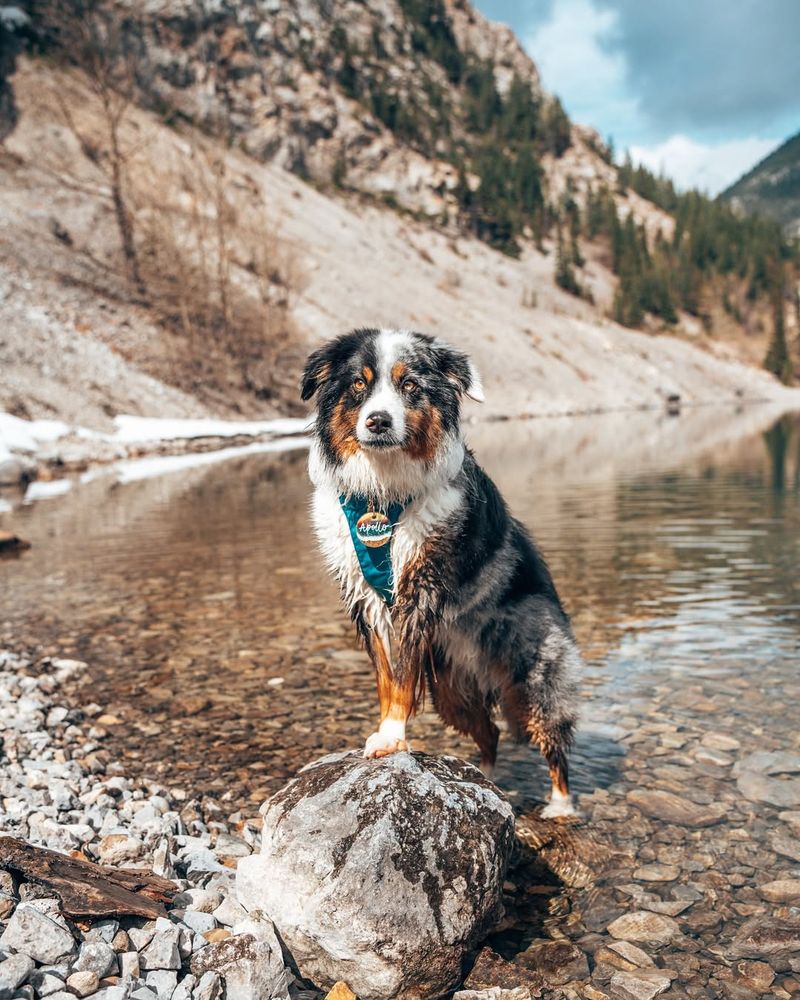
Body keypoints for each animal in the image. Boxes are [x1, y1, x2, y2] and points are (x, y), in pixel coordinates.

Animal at [304, 324, 580, 816]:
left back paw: (561, 806)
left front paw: (392, 737)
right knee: (489, 732)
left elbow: (402, 678)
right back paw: (485, 781)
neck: (384, 491)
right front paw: (385, 731)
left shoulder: (420, 591)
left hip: (534, 677)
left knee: (552, 740)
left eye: (410, 385)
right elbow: (387, 677)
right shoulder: (368, 597)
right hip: (452, 689)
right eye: (358, 384)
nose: (378, 421)